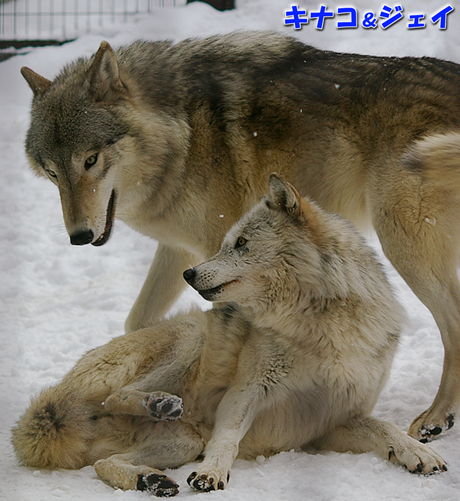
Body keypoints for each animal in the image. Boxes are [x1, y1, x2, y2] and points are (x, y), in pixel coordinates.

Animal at [13, 176, 446, 496]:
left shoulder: (332, 422)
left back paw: (150, 477)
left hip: (183, 442)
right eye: (225, 243)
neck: (320, 328)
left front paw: (418, 453)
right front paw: (211, 474)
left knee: (106, 462)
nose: (189, 273)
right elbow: (228, 438)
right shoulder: (248, 391)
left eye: (240, 244)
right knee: (116, 398)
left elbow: (385, 428)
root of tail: (52, 413)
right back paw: (159, 405)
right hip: (189, 339)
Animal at [19, 31, 460, 440]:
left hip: (403, 246)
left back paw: (436, 417)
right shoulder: (180, 252)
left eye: (91, 160)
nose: (79, 236)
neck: (181, 138)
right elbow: (137, 322)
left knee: (453, 323)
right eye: (53, 173)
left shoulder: (217, 253)